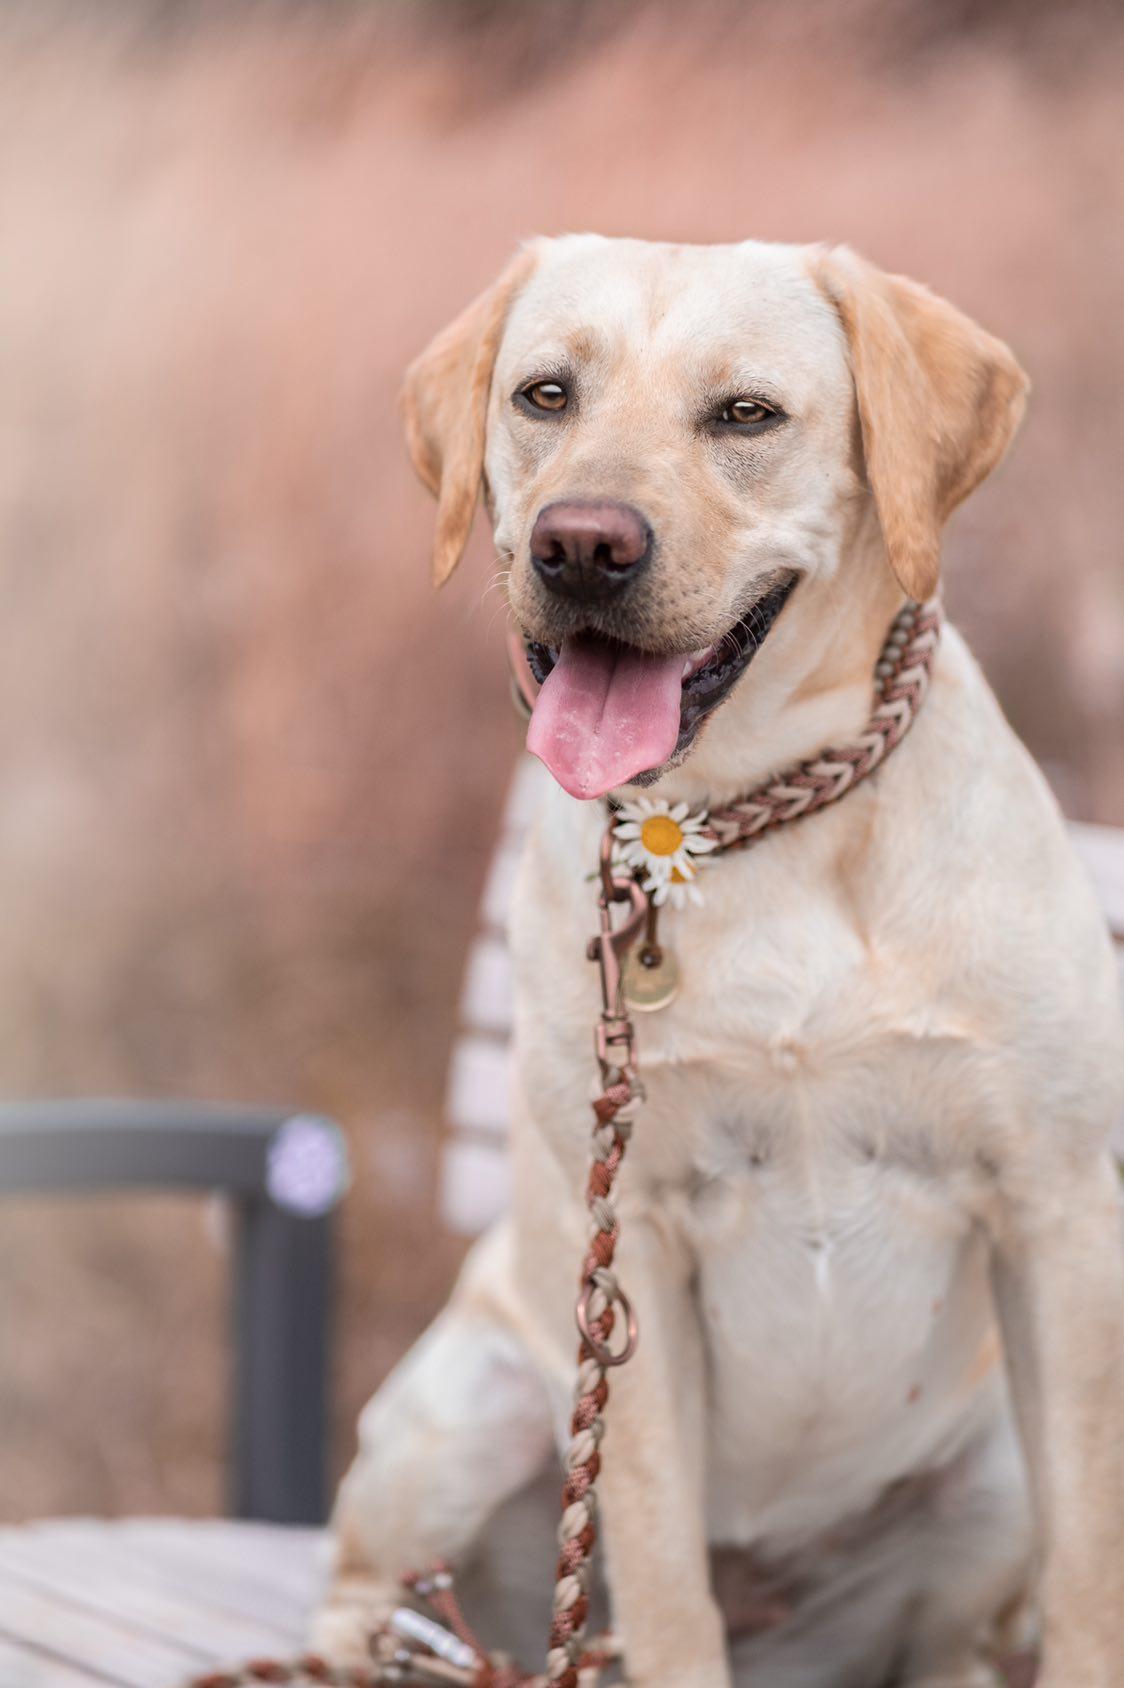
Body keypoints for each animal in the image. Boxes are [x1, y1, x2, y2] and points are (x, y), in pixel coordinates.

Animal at [315, 237, 1124, 1687]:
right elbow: (661, 1573)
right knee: (368, 1590)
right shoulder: (628, 1241)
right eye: (545, 394)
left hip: (984, 1480)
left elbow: (1090, 1569)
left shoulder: (1058, 1213)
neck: (746, 822)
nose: (581, 544)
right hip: (470, 1402)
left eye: (746, 415)